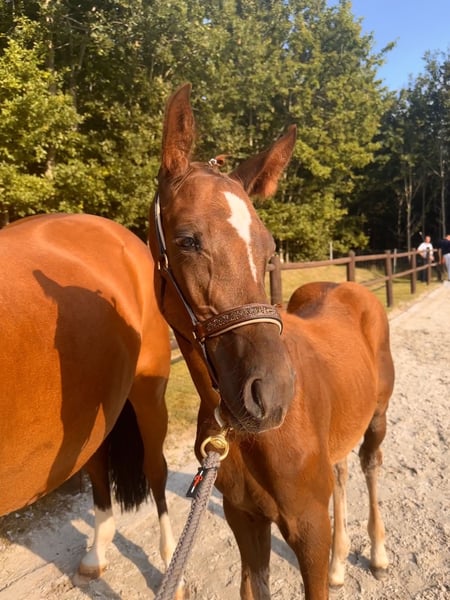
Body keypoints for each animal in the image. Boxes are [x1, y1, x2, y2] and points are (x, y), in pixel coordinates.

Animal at [148, 84, 395, 599]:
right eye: (187, 240)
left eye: (268, 247)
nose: (272, 395)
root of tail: (350, 286)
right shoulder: (245, 519)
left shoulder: (308, 525)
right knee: (341, 471)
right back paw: (342, 561)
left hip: (378, 416)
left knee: (370, 465)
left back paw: (378, 553)